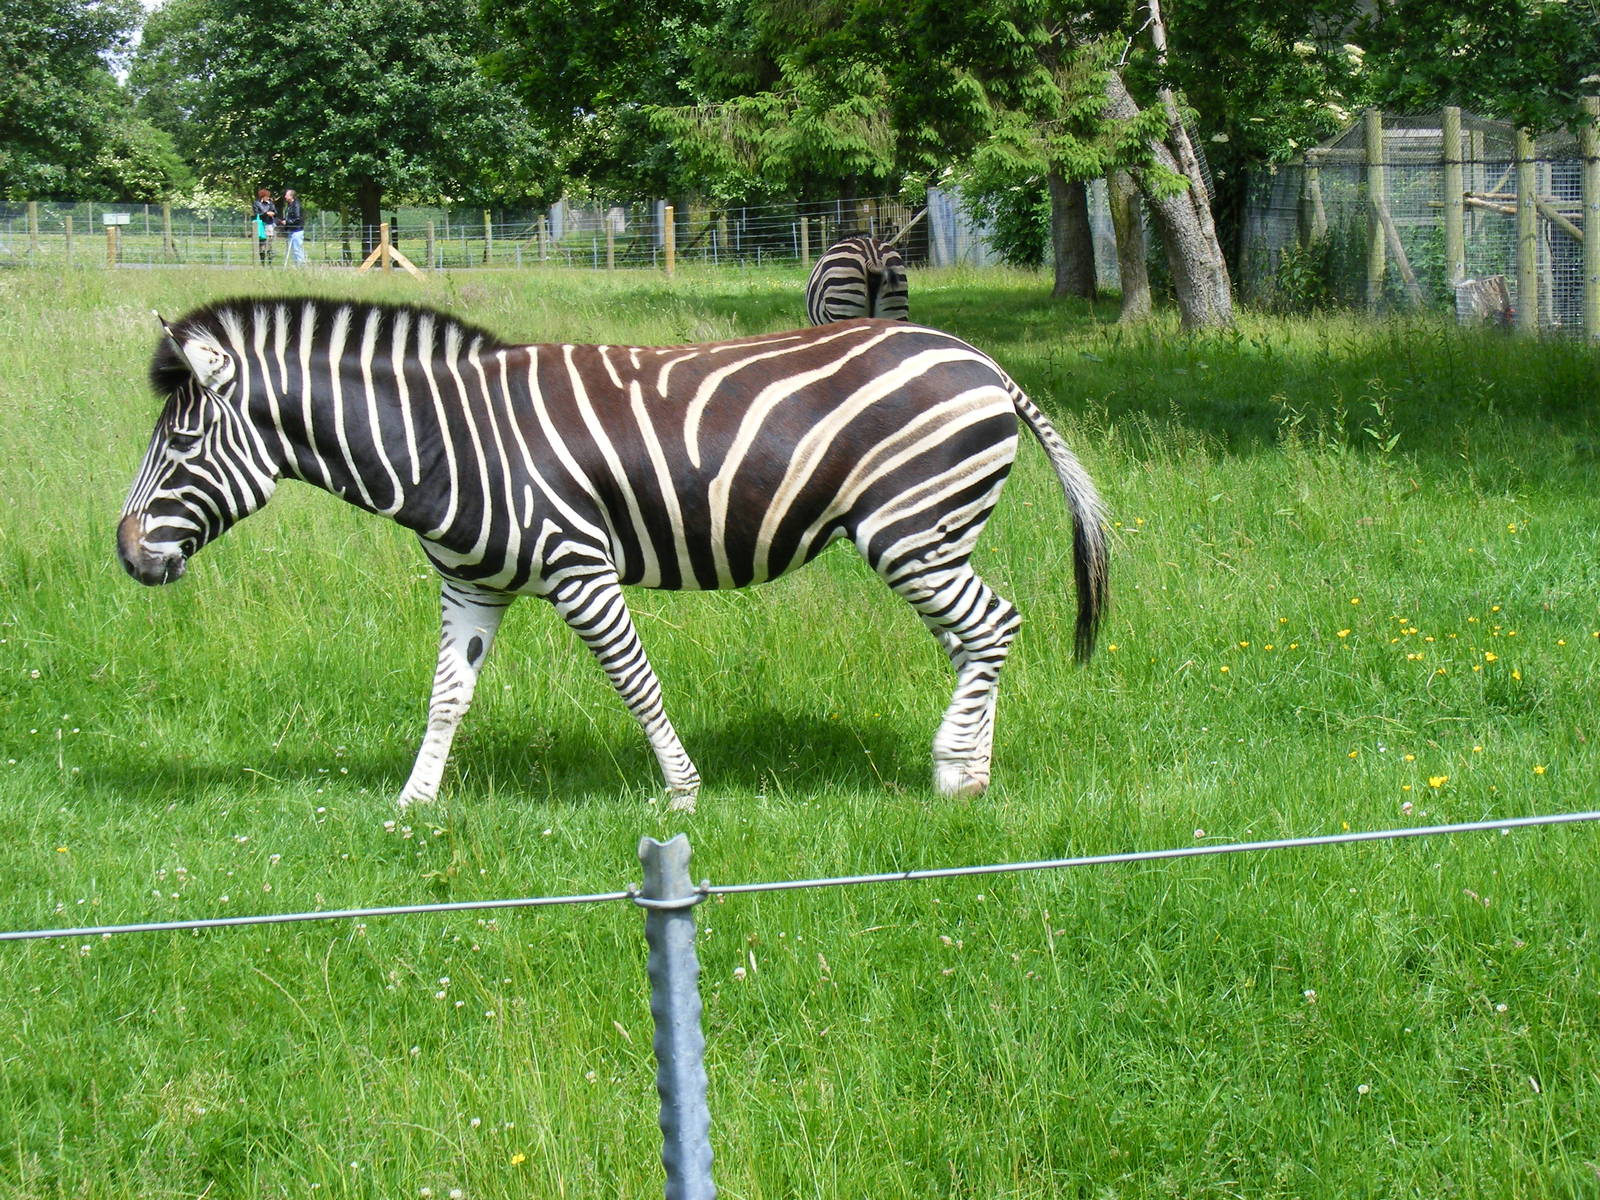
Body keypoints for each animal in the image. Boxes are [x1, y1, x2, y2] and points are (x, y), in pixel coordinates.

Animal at [118, 298, 1107, 810]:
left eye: (180, 445)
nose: (126, 557)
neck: (443, 442)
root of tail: (979, 359)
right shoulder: (471, 586)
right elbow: (446, 695)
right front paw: (413, 807)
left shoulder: (577, 566)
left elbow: (636, 681)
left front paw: (683, 794)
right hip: (936, 539)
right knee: (976, 641)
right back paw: (974, 770)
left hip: (910, 531)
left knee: (995, 626)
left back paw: (950, 774)